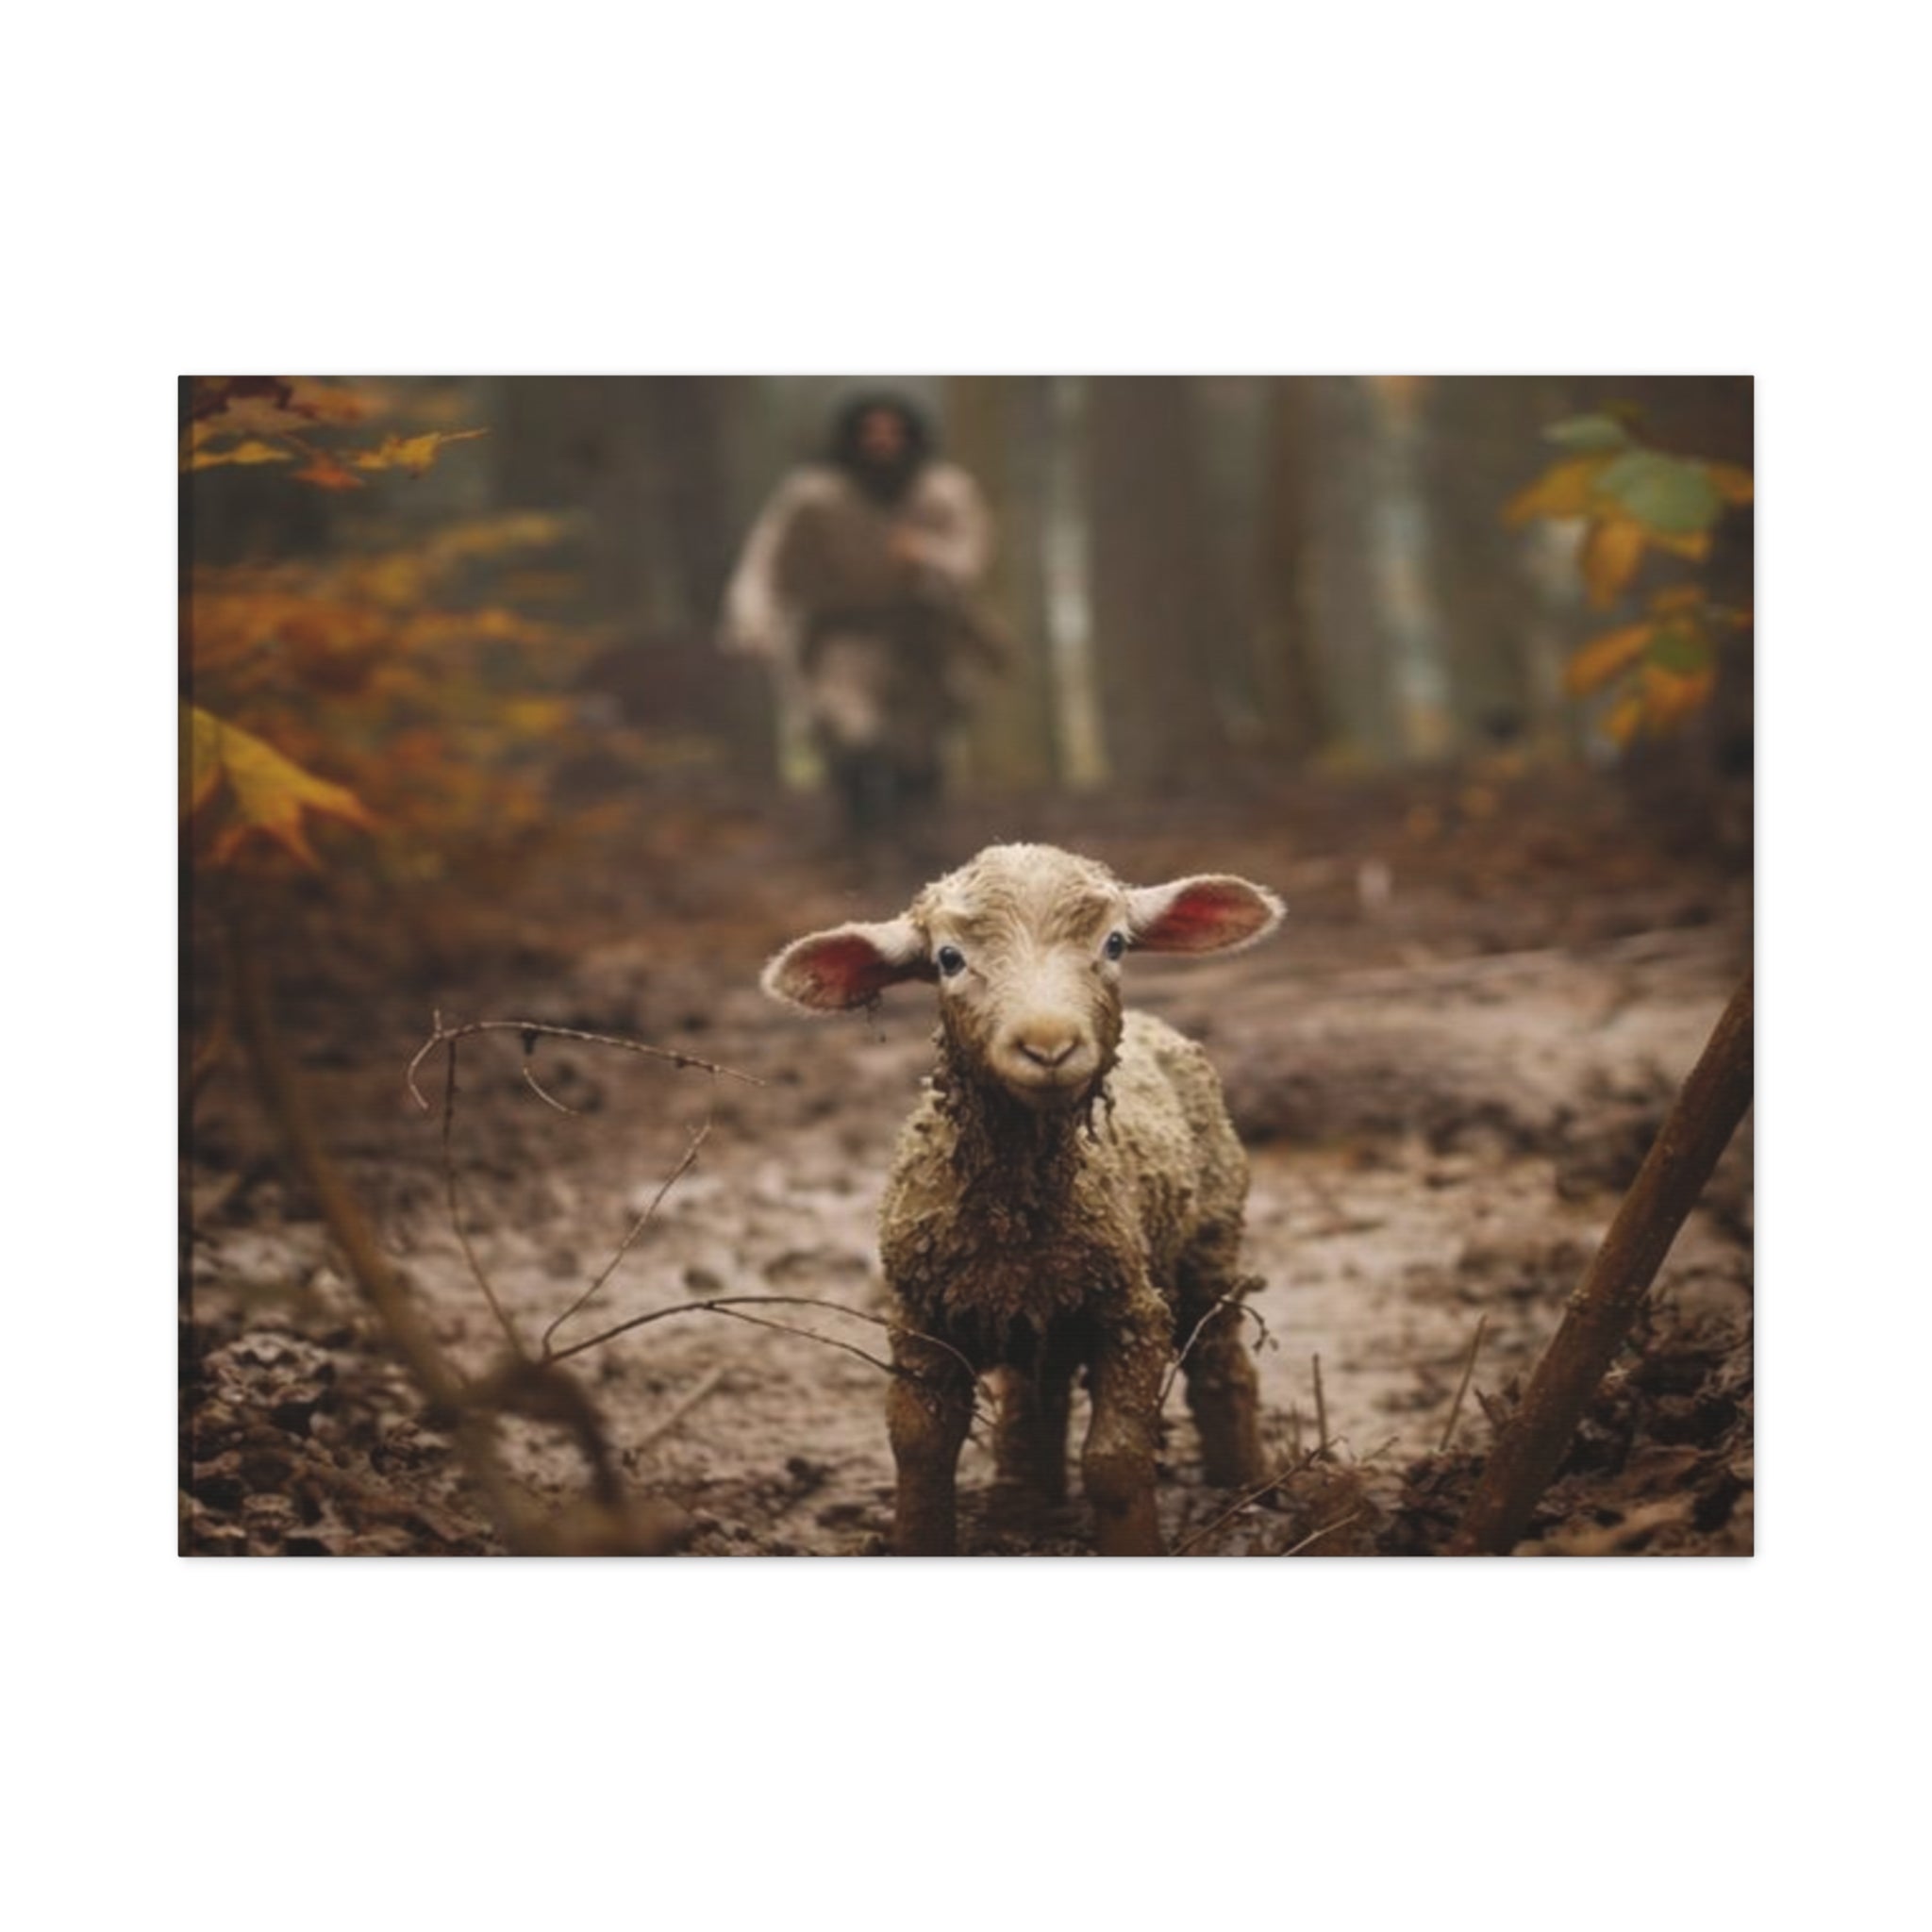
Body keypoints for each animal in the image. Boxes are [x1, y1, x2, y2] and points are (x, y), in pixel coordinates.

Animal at [761, 842, 1283, 1555]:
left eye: (1115, 943)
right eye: (949, 958)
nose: (1048, 1045)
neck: (1016, 1213)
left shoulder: (1133, 1312)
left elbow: (1115, 1460)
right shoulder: (919, 1317)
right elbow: (919, 1448)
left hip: (1211, 1240)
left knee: (1221, 1364)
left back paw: (1248, 1488)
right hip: (1046, 1315)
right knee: (1038, 1395)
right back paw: (1026, 1502)